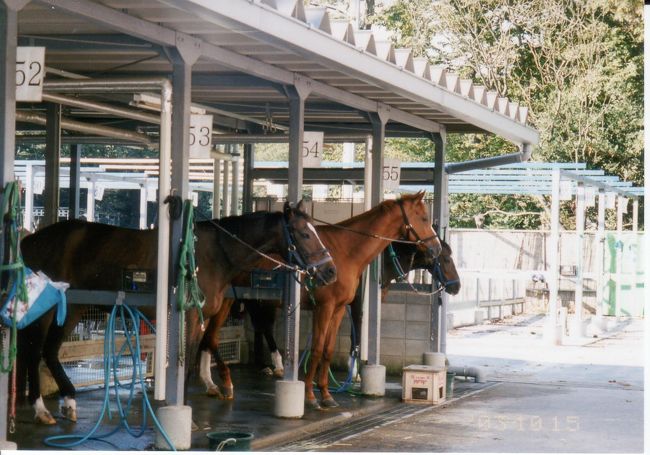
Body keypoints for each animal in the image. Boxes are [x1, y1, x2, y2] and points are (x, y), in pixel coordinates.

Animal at [17, 201, 336, 426]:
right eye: (305, 233)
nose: (330, 271)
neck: (216, 254)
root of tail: (30, 240)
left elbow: (199, 354)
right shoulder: (191, 317)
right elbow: (188, 362)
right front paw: (185, 413)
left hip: (73, 307)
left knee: (50, 351)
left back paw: (68, 401)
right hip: (47, 310)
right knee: (34, 352)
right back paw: (40, 409)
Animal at [197, 192, 440, 410]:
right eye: (424, 218)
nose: (436, 247)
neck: (346, 251)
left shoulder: (339, 309)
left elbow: (328, 350)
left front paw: (326, 394)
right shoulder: (324, 308)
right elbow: (316, 348)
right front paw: (310, 395)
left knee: (209, 338)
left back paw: (211, 384)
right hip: (226, 301)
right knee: (212, 337)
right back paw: (224, 382)